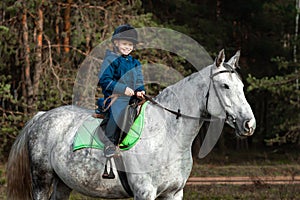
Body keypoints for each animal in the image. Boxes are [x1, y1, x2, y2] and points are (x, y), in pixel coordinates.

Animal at [6, 49, 255, 199]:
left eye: (241, 86)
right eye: (224, 86)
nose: (249, 124)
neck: (168, 136)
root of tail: (42, 116)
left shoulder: (174, 193)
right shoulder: (145, 192)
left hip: (63, 183)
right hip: (42, 179)